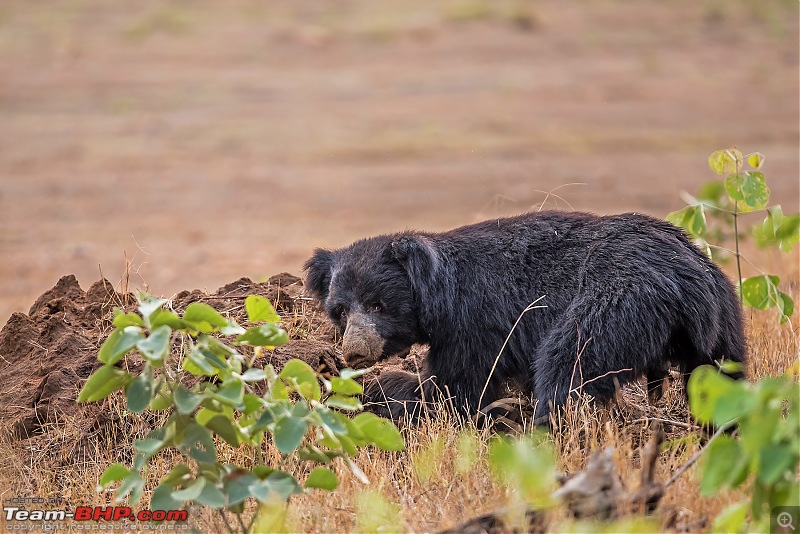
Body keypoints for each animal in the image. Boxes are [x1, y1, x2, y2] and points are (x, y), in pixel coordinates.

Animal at [304, 211, 748, 426]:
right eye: (341, 310)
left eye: (379, 305)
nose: (354, 352)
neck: (439, 295)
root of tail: (687, 274)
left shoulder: (476, 325)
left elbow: (455, 391)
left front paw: (387, 389)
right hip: (723, 322)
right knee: (720, 376)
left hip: (617, 305)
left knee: (568, 366)